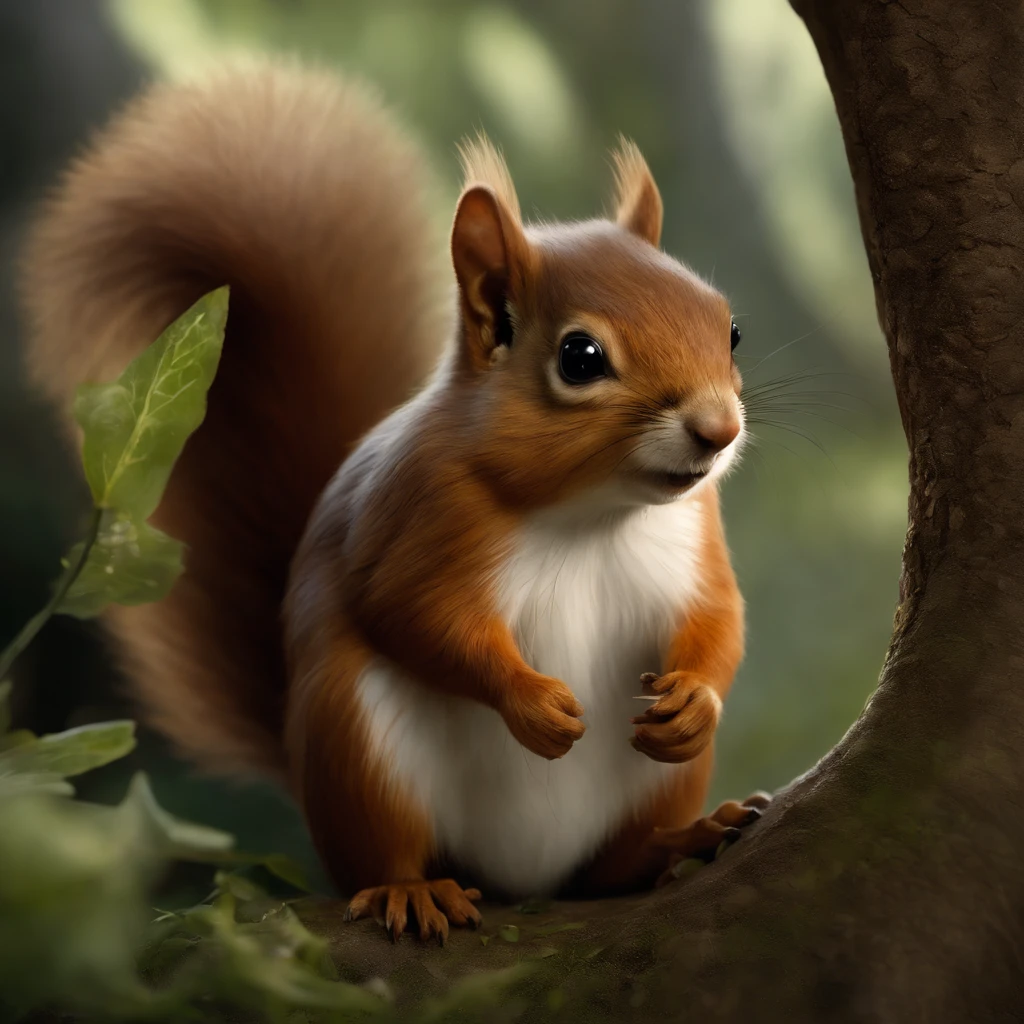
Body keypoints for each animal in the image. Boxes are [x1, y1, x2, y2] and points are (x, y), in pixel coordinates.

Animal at [22, 62, 766, 943]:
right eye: (581, 357)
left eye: (729, 329)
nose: (719, 429)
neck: (591, 513)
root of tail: (523, 880)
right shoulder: (420, 513)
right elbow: (411, 613)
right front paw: (533, 702)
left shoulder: (692, 536)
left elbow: (719, 618)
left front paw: (694, 699)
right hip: (360, 746)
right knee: (384, 852)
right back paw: (412, 892)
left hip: (653, 788)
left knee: (610, 869)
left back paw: (683, 839)